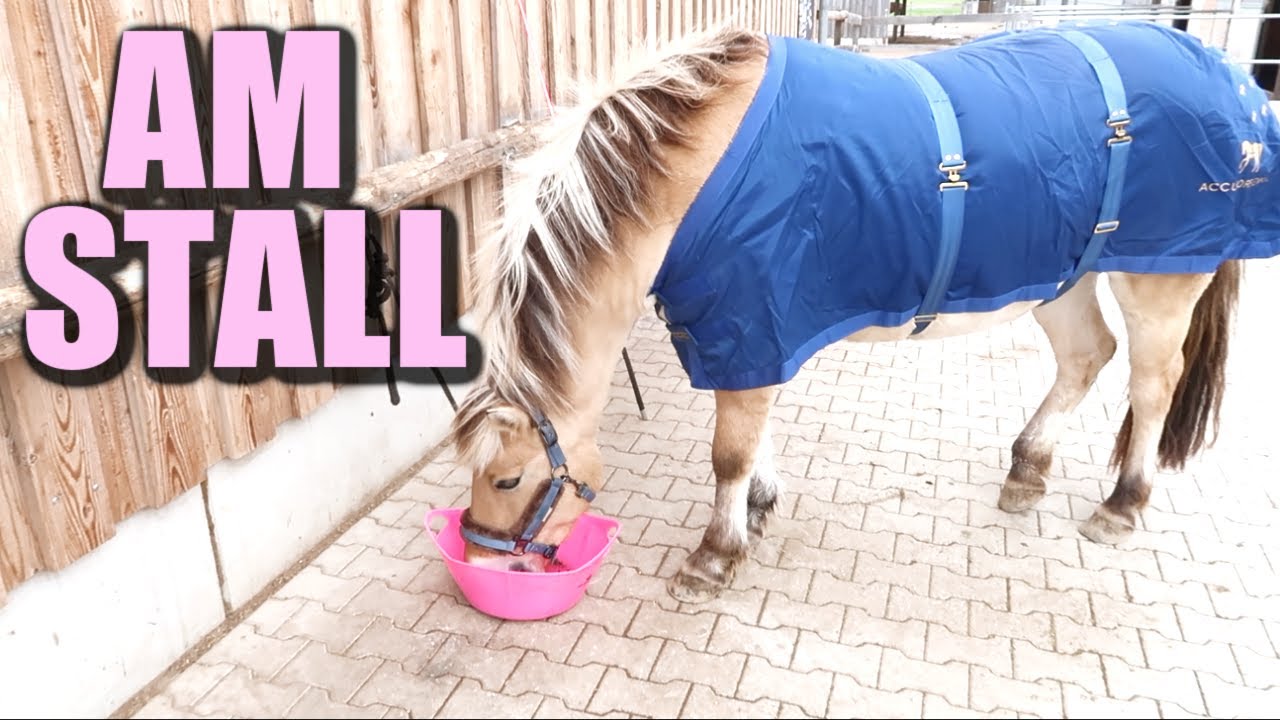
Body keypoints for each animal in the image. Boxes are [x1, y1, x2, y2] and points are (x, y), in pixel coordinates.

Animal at [442, 20, 1280, 603]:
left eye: (508, 480)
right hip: (1065, 273)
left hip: (1160, 275)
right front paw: (761, 505)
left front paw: (715, 553)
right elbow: (753, 434)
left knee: (1153, 383)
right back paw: (1027, 470)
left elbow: (729, 452)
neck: (693, 170)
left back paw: (1123, 504)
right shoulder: (753, 329)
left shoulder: (751, 323)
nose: (479, 558)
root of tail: (1231, 83)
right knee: (1086, 357)